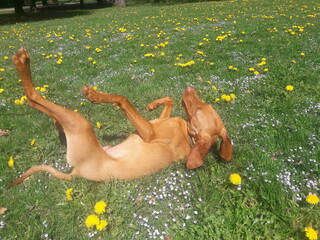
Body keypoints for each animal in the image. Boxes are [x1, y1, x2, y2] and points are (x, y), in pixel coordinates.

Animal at [8, 47, 232, 188]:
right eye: (204, 104)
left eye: (198, 110)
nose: (189, 88)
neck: (188, 136)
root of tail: (77, 173)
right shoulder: (154, 124)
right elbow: (168, 100)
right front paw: (153, 104)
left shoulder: (149, 132)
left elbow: (122, 99)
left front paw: (95, 95)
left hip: (79, 123)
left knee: (32, 98)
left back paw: (22, 62)